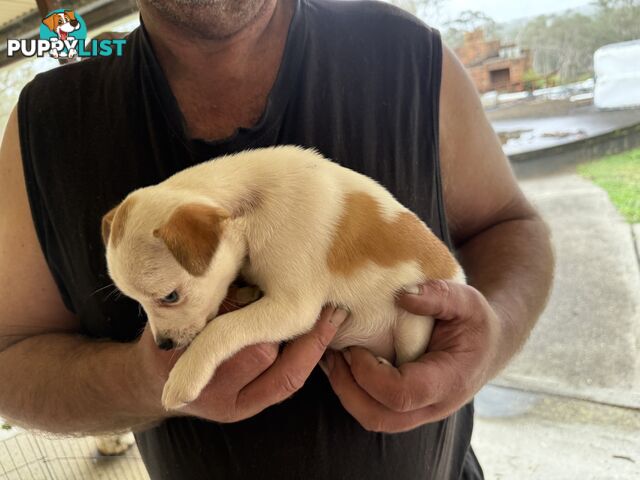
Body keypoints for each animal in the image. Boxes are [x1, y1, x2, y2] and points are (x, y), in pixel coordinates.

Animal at [104, 145, 464, 408]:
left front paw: (184, 376)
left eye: (170, 296)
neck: (253, 205)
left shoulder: (294, 308)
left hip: (414, 324)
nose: (163, 346)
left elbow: (221, 328)